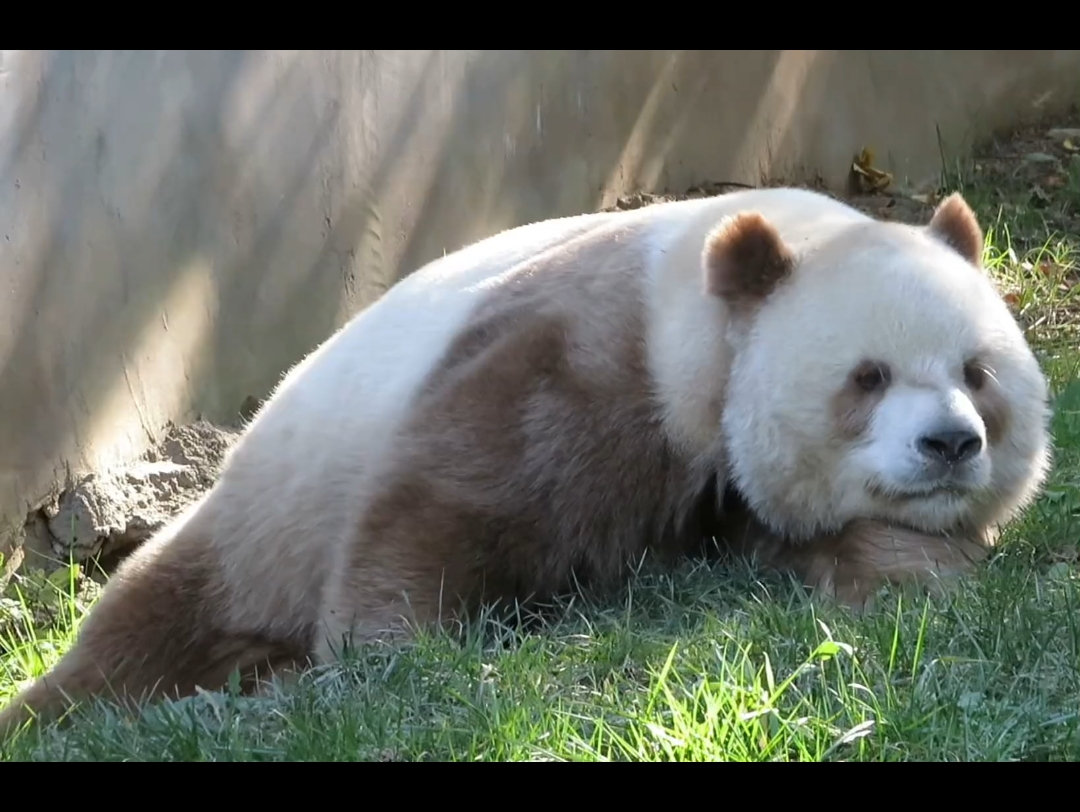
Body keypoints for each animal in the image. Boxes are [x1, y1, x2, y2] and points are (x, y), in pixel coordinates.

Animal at [0, 187, 1051, 739]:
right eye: (867, 377)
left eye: (977, 372)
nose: (951, 442)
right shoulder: (593, 356)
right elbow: (451, 495)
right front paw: (395, 654)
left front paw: (931, 572)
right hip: (271, 506)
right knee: (154, 613)